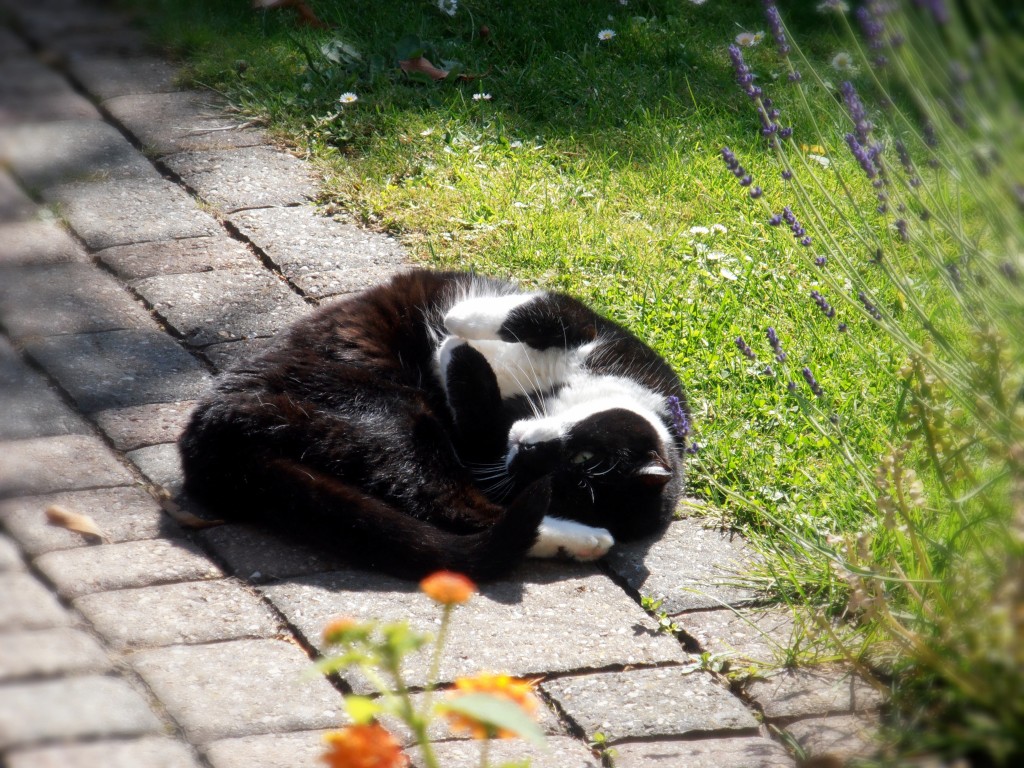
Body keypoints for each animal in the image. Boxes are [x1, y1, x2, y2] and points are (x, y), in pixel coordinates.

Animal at [178, 268, 688, 577]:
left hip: (391, 416)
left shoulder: (479, 440)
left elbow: (472, 398)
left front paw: (455, 349)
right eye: (584, 456)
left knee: (454, 507)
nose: (523, 450)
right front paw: (461, 321)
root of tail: (212, 424)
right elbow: (550, 314)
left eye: (571, 477)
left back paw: (583, 540)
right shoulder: (614, 343)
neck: (539, 397)